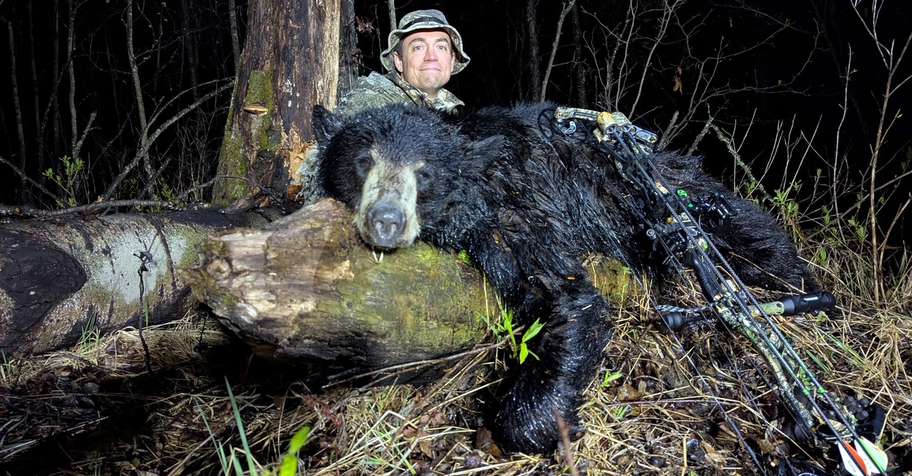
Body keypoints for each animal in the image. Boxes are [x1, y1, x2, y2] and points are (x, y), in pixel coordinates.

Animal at [312, 102, 818, 454]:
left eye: (425, 173)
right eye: (363, 160)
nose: (386, 220)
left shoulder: (519, 214)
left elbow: (567, 296)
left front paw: (547, 425)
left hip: (681, 201)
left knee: (755, 238)